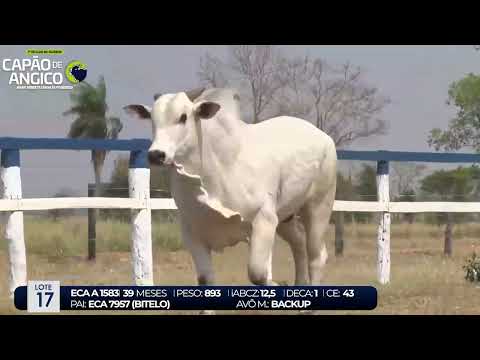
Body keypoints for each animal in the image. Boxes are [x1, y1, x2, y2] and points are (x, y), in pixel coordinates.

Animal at [125, 86, 336, 292]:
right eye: (152, 119)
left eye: (183, 117)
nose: (156, 154)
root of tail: (324, 136)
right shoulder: (192, 234)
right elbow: (205, 280)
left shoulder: (264, 220)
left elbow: (258, 274)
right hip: (286, 216)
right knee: (298, 243)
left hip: (319, 207)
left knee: (317, 257)